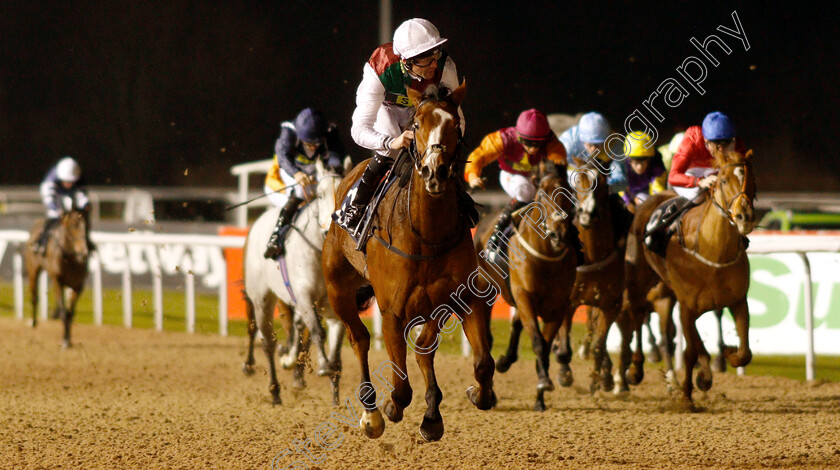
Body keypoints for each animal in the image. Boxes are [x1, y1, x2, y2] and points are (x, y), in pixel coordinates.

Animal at [24, 207, 90, 346]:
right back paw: (33, 323)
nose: (83, 253)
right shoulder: (58, 281)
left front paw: (68, 338)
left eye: (86, 226)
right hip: (33, 270)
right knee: (34, 297)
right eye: (72, 226)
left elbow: (70, 312)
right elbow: (64, 312)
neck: (71, 258)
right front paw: (64, 340)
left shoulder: (78, 285)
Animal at [241, 160, 346, 406]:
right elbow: (317, 331)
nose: (332, 228)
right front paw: (323, 366)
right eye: (320, 194)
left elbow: (336, 356)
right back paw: (274, 390)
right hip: (261, 299)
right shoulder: (305, 296)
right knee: (266, 341)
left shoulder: (335, 307)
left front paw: (336, 401)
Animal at [320, 82, 492, 442]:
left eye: (455, 125)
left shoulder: (461, 298)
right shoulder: (392, 313)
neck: (427, 235)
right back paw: (371, 413)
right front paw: (390, 408)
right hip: (337, 289)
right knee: (359, 339)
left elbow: (481, 363)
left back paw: (432, 415)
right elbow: (400, 388)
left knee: (424, 349)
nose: (434, 171)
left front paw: (474, 395)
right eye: (416, 125)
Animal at [476, 171, 580, 410]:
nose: (558, 234)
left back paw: (505, 362)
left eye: (568, 194)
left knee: (515, 325)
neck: (546, 259)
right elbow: (539, 342)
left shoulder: (558, 306)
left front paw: (540, 395)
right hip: (485, 290)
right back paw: (490, 391)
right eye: (541, 195)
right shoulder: (525, 296)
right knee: (487, 338)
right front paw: (544, 383)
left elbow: (546, 345)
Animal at [624, 149, 756, 398]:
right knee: (637, 318)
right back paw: (635, 369)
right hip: (639, 283)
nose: (745, 216)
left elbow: (744, 353)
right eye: (723, 180)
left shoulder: (738, 301)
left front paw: (727, 355)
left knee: (667, 335)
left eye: (751, 178)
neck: (712, 253)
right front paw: (691, 389)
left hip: (666, 295)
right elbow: (692, 350)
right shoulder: (687, 307)